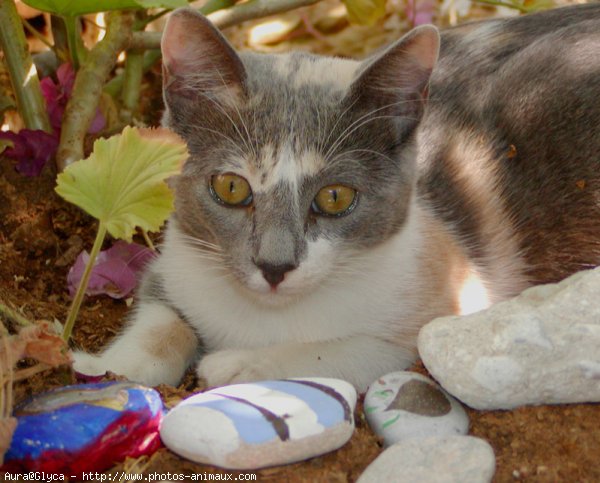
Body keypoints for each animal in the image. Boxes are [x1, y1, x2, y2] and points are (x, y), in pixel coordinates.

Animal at [74, 3, 600, 394]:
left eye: (334, 197)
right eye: (231, 188)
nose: (274, 265)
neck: (267, 315)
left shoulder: (457, 296)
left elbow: (352, 350)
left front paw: (241, 366)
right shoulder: (173, 260)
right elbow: (160, 318)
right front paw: (108, 367)